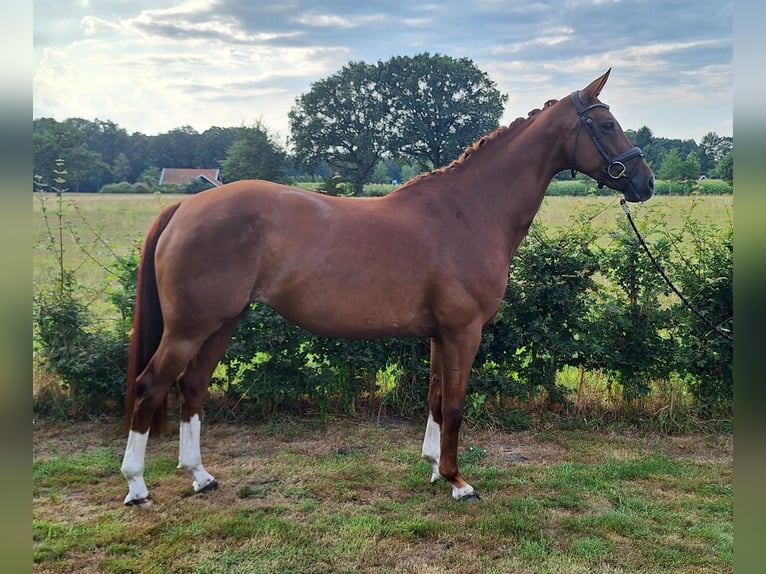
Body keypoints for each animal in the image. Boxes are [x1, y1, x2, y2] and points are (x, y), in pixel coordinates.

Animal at [121, 69, 654, 506]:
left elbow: (435, 398)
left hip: (221, 324)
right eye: (607, 125)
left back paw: (201, 476)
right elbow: (455, 404)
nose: (645, 182)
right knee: (150, 386)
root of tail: (186, 207)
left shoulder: (440, 335)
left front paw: (435, 469)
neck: (468, 211)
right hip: (189, 328)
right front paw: (459, 482)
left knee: (191, 386)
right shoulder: (463, 332)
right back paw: (137, 487)